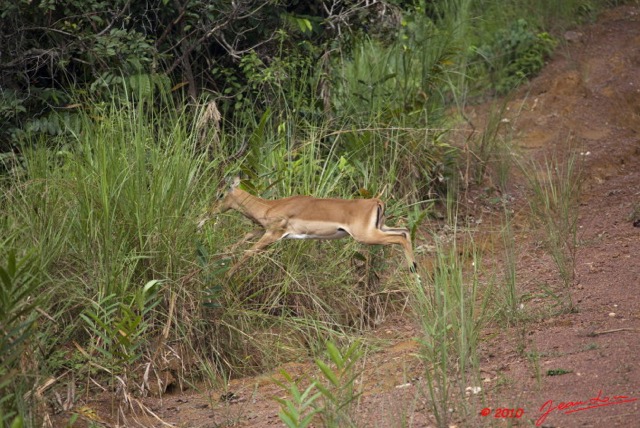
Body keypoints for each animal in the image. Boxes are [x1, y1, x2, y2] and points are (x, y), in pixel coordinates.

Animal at [201, 177, 420, 278]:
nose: (206, 215)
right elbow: (242, 240)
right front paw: (220, 258)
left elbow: (248, 252)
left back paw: (415, 274)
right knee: (405, 231)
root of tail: (376, 201)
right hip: (380, 228)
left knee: (400, 238)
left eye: (220, 194)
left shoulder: (273, 234)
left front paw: (227, 275)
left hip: (366, 236)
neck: (269, 206)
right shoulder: (263, 230)